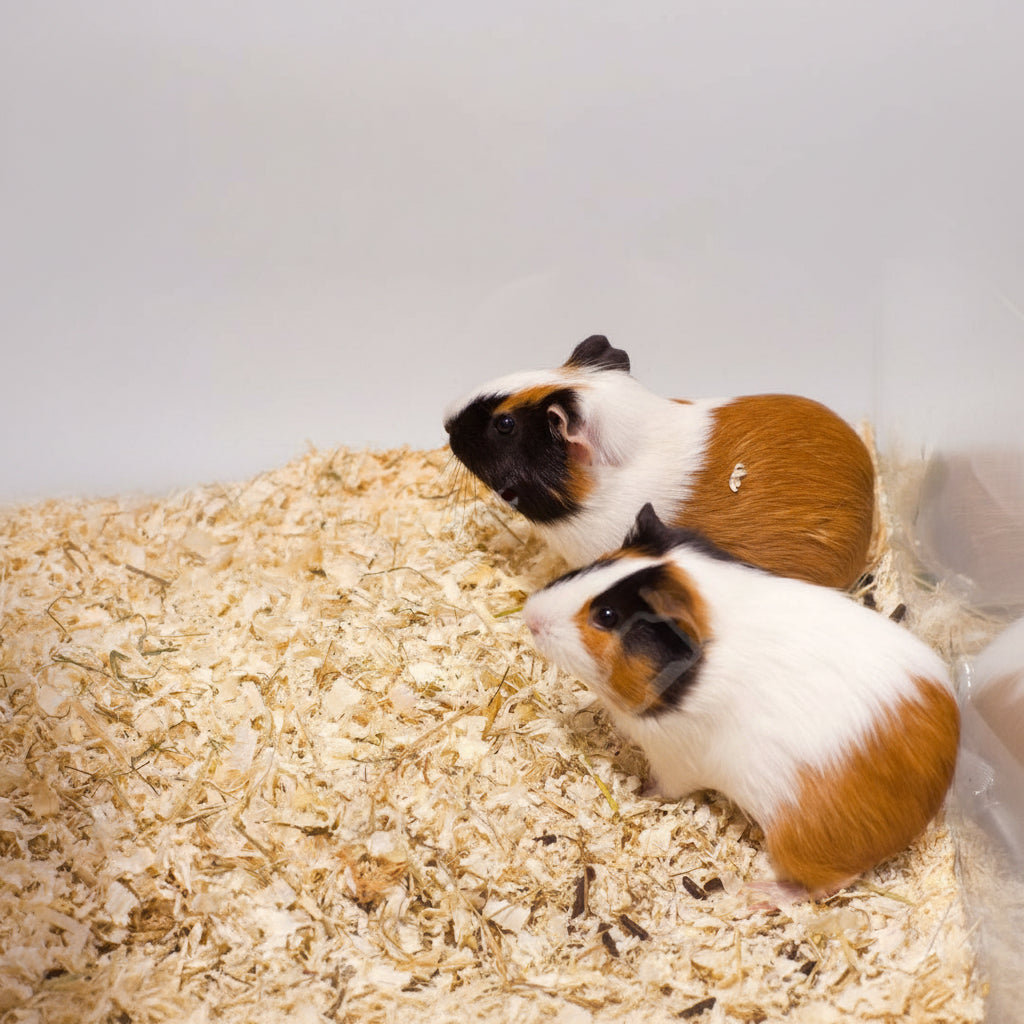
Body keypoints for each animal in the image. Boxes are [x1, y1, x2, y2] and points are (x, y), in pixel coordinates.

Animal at [522, 503, 959, 895]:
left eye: (607, 616)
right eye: (598, 564)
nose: (529, 614)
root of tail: (925, 807)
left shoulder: (673, 758)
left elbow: (662, 787)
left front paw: (639, 793)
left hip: (795, 844)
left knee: (828, 884)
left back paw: (756, 896)